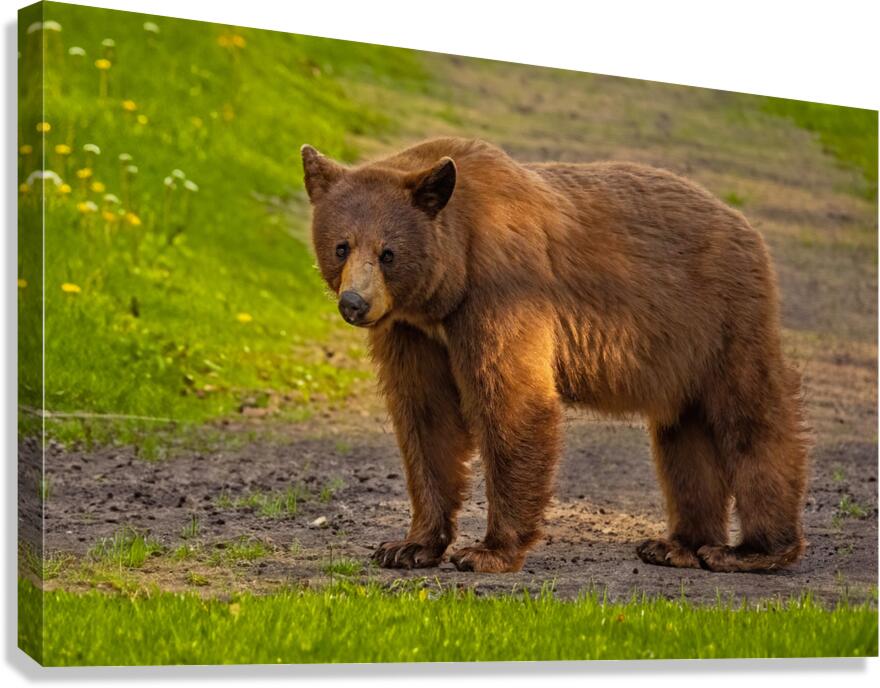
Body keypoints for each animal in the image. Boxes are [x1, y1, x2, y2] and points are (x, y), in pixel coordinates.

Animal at [301, 136, 809, 574]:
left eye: (388, 253)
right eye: (341, 246)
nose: (355, 303)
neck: (450, 281)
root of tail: (745, 225)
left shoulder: (503, 290)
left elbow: (512, 402)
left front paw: (487, 551)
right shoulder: (413, 331)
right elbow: (426, 416)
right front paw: (408, 545)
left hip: (721, 317)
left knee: (752, 417)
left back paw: (754, 550)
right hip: (680, 354)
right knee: (683, 434)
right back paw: (676, 545)